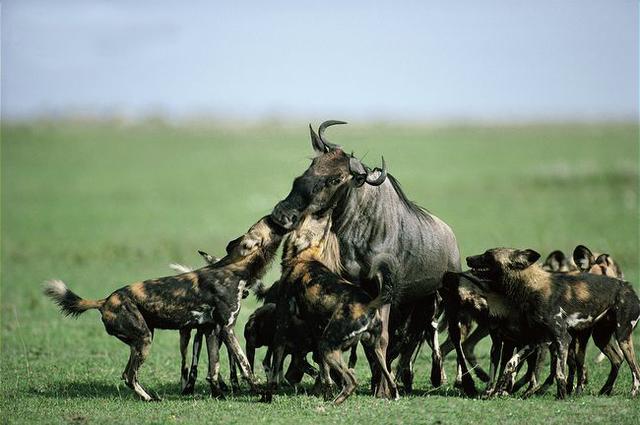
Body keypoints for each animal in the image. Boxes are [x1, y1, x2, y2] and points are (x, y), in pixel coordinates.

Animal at [43, 217, 284, 400]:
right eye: (268, 224)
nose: (276, 217)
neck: (235, 269)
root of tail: (104, 301)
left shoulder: (211, 330)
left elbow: (213, 369)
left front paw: (219, 395)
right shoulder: (227, 329)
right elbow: (245, 366)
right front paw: (259, 392)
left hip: (140, 340)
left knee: (127, 374)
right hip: (144, 339)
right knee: (129, 376)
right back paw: (149, 399)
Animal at [266, 212, 398, 404]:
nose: (326, 213)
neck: (304, 258)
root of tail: (368, 303)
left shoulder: (280, 331)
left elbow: (274, 370)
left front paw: (268, 395)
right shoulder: (316, 333)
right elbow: (324, 373)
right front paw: (324, 391)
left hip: (328, 345)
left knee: (351, 380)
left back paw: (335, 403)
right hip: (374, 349)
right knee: (390, 378)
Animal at [464, 247, 640, 400]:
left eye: (488, 256)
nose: (467, 258)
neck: (530, 288)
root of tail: (629, 287)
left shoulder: (561, 338)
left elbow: (559, 373)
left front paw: (561, 397)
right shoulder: (535, 340)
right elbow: (511, 364)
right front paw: (499, 390)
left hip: (622, 338)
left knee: (635, 370)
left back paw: (633, 393)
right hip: (600, 338)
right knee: (617, 360)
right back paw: (604, 390)